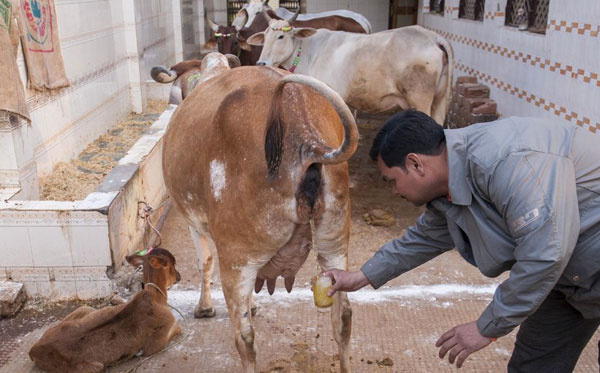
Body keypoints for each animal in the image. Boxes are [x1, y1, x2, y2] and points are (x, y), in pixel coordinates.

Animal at [28, 247, 182, 372]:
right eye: (173, 263)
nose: (179, 277)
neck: (157, 296)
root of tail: (33, 351)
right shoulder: (156, 342)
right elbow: (177, 330)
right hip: (95, 368)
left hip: (83, 309)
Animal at [162, 66, 358, 370]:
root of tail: (305, 138)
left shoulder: (194, 222)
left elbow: (204, 261)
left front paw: (204, 307)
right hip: (334, 244)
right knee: (343, 318)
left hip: (237, 259)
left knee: (245, 337)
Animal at [248, 20, 454, 125]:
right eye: (265, 36)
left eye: (281, 36)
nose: (261, 62)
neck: (309, 51)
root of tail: (432, 37)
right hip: (439, 100)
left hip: (420, 98)